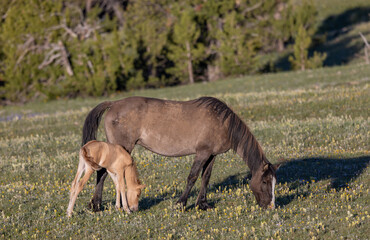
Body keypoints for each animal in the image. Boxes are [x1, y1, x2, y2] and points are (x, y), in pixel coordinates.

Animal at [82, 96, 278, 211]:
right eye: (265, 181)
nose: (270, 206)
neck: (222, 122)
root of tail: (114, 104)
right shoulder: (202, 153)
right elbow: (192, 177)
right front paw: (181, 203)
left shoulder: (211, 155)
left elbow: (205, 177)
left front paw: (202, 204)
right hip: (121, 147)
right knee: (102, 172)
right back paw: (96, 205)